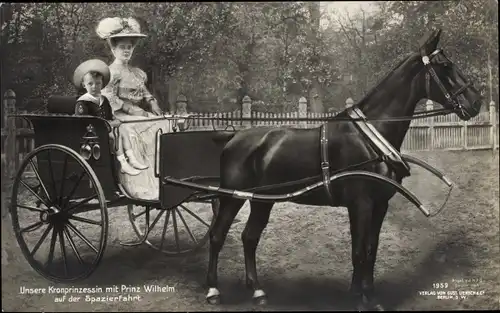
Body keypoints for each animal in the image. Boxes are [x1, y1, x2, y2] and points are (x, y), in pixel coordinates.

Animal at [203, 29, 484, 310]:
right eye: (445, 65)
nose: (476, 102)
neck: (369, 138)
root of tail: (234, 137)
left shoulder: (380, 205)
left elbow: (371, 250)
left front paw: (370, 298)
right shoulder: (360, 204)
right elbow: (358, 252)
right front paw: (357, 300)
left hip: (262, 200)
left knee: (249, 237)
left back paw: (257, 291)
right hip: (231, 197)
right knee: (217, 236)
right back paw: (213, 290)